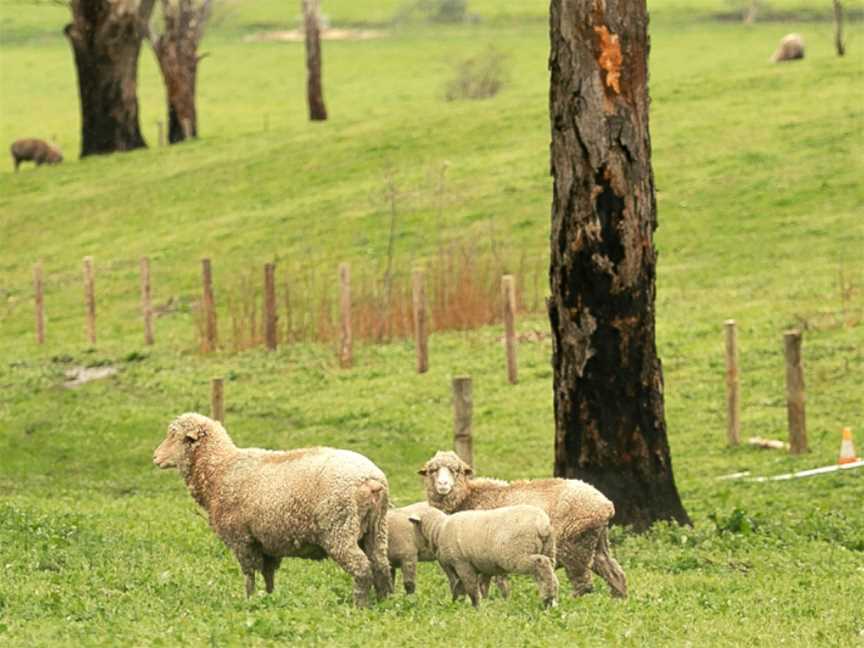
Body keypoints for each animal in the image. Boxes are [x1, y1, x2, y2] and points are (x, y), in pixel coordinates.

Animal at [154, 412, 394, 604]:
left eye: (175, 436)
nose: (155, 457)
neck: (220, 469)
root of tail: (371, 479)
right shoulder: (267, 543)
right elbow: (268, 576)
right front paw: (269, 600)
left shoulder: (241, 539)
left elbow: (249, 575)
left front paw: (248, 602)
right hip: (376, 529)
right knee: (381, 565)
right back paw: (385, 603)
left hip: (339, 528)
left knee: (362, 568)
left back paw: (359, 606)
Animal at [406, 502, 556, 608]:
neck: (438, 530)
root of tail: (542, 524)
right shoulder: (476, 566)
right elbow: (464, 587)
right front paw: (457, 604)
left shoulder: (461, 563)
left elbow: (470, 587)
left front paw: (476, 607)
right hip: (548, 550)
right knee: (547, 572)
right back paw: (550, 599)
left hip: (517, 554)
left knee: (541, 563)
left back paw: (548, 598)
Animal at [420, 450, 628, 596]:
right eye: (432, 470)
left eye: (455, 470)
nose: (443, 485)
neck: (468, 497)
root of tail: (605, 504)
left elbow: (489, 582)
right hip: (597, 543)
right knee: (615, 575)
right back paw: (619, 602)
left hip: (575, 546)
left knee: (584, 584)